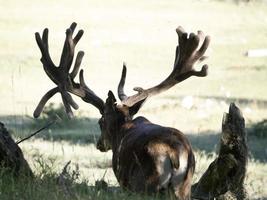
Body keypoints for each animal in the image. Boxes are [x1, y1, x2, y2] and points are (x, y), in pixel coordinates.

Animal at [33, 22, 211, 199]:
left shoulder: (122, 178)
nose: (99, 144)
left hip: (144, 184)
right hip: (184, 186)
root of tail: (174, 153)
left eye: (100, 122)